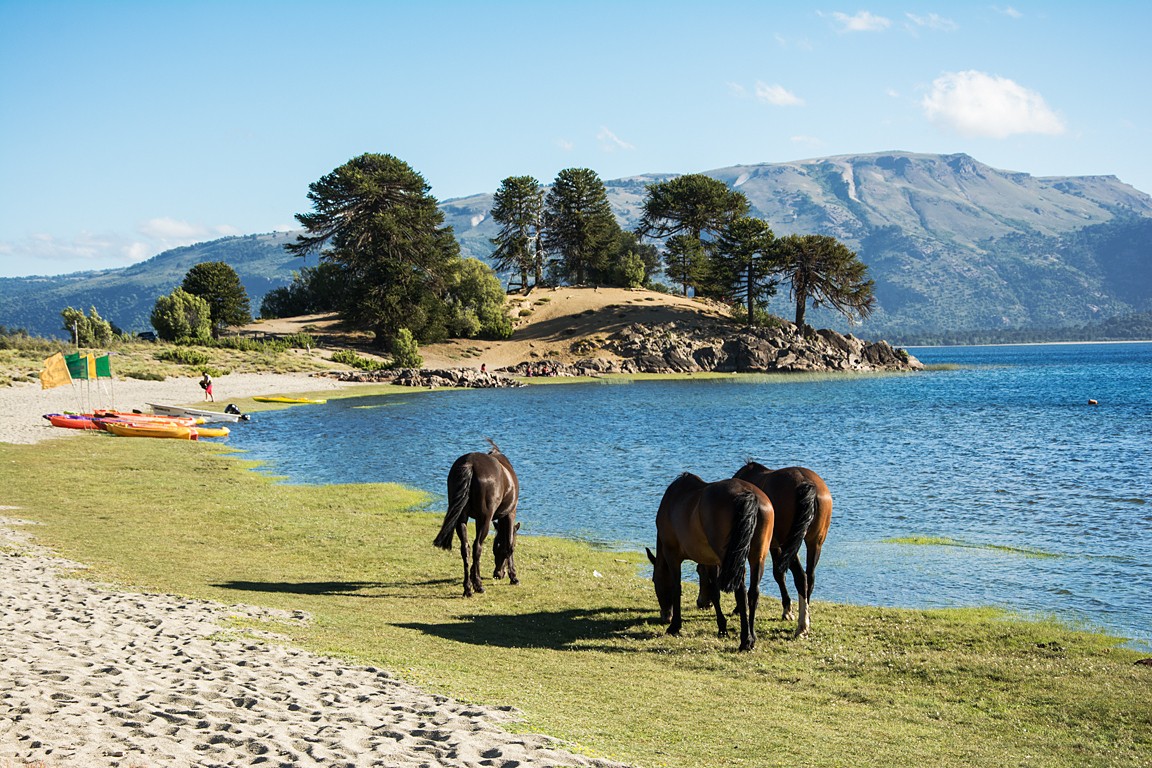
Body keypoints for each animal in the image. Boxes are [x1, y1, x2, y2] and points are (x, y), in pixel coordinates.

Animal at [433, 442, 523, 598]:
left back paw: (468, 588)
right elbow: (510, 545)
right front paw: (514, 577)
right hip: (485, 519)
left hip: (462, 518)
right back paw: (479, 586)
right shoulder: (510, 514)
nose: (497, 574)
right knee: (477, 547)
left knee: (466, 548)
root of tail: (470, 464)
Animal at [649, 472, 774, 654]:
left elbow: (677, 588)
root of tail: (749, 494)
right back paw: (752, 638)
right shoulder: (710, 561)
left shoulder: (672, 556)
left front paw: (675, 626)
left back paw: (745, 640)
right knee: (753, 593)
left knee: (740, 592)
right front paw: (722, 628)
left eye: (654, 580)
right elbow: (714, 592)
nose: (665, 616)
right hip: (758, 557)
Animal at [695, 462, 834, 635]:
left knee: (801, 577)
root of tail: (806, 484)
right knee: (810, 577)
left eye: (700, 571)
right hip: (815, 542)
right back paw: (806, 619)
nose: (701, 602)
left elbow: (775, 575)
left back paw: (802, 625)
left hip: (788, 543)